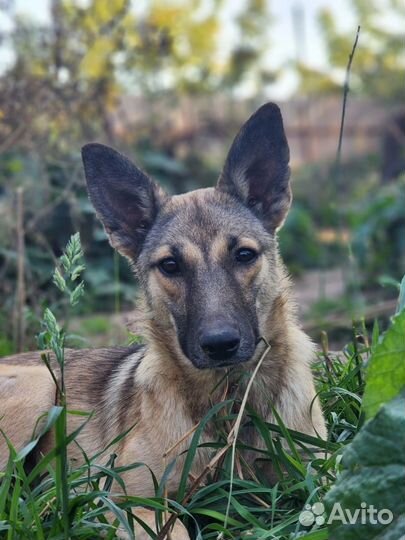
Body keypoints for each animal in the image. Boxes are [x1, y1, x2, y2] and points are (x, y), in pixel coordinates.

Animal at [0, 103, 326, 536]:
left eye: (244, 255)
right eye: (170, 265)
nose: (220, 345)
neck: (226, 403)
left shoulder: (318, 476)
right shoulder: (129, 501)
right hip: (38, 392)